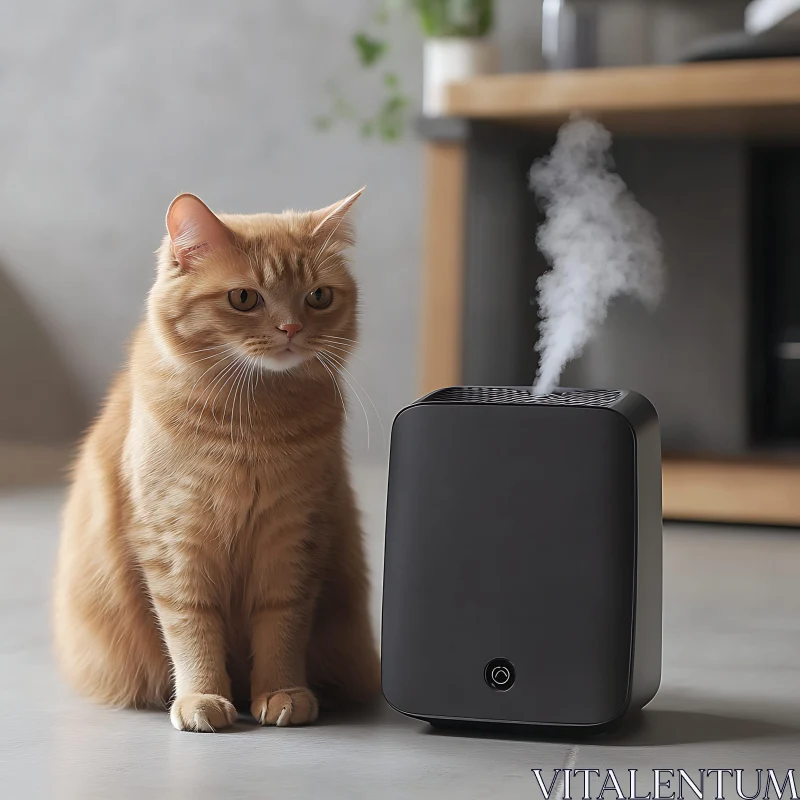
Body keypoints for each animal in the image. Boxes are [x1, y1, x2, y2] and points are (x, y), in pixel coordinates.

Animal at [53, 189, 382, 732]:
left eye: (318, 296)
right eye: (244, 298)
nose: (291, 328)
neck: (252, 425)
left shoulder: (294, 534)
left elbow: (283, 623)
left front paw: (282, 692)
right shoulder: (174, 537)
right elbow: (191, 626)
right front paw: (202, 698)